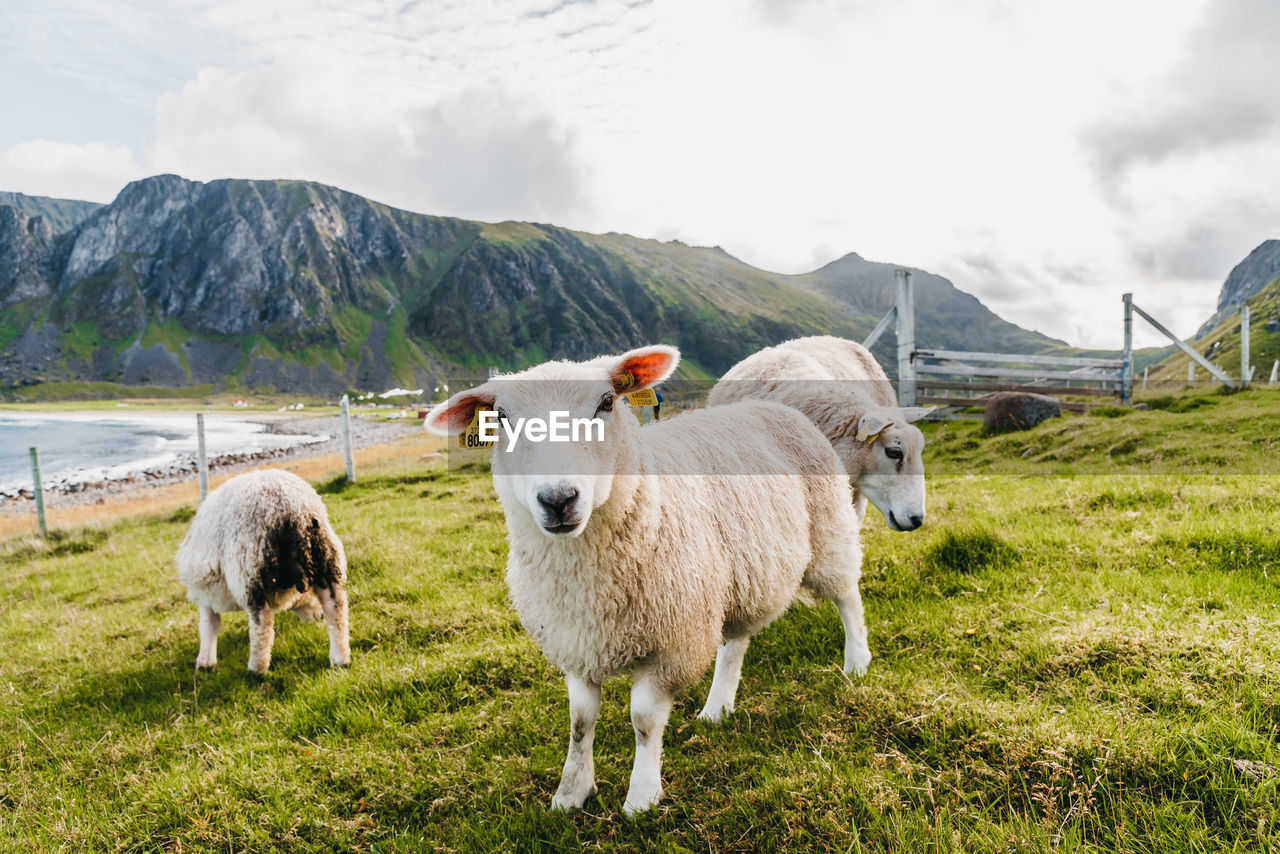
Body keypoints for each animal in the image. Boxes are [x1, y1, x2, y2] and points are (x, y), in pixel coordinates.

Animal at [175, 468, 348, 676]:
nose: (318, 616)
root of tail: (291, 507)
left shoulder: (207, 591)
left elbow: (209, 624)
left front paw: (204, 662)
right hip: (325, 556)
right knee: (335, 604)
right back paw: (340, 659)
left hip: (248, 569)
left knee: (261, 622)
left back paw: (256, 668)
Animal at [430, 345, 870, 814]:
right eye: (502, 417)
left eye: (607, 403)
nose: (558, 499)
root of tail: (774, 406)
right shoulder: (575, 644)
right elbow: (580, 721)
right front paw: (571, 792)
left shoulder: (673, 643)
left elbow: (643, 719)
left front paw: (641, 796)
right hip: (733, 578)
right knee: (735, 642)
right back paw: (718, 707)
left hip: (828, 532)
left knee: (848, 597)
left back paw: (857, 662)